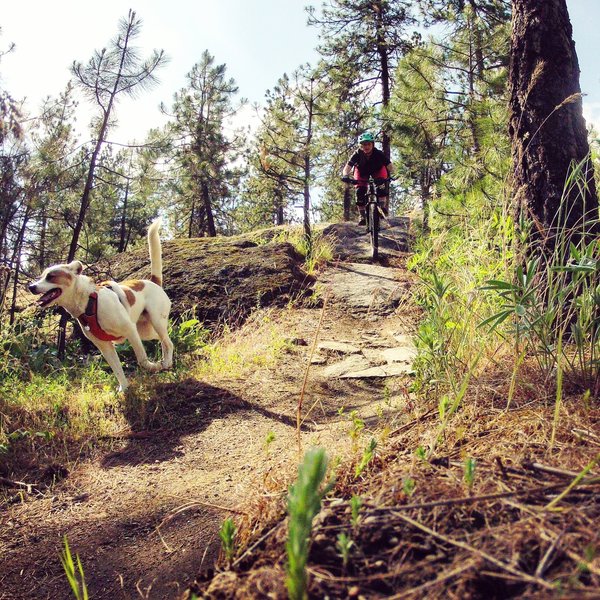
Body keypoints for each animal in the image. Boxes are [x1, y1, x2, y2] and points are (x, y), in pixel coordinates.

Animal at [29, 218, 172, 392]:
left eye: (51, 276)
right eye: (42, 276)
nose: (31, 287)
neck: (88, 302)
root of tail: (153, 281)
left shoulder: (130, 330)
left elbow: (142, 360)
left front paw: (153, 367)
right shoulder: (105, 346)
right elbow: (117, 369)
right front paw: (123, 389)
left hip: (154, 322)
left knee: (168, 342)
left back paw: (166, 362)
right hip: (145, 331)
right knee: (164, 340)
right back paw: (166, 360)